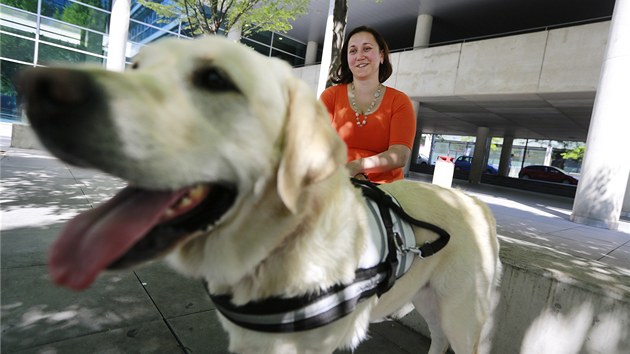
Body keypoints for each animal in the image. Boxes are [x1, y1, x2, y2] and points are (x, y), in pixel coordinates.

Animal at [17, 36, 504, 354]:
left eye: (215, 79)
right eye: (135, 67)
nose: (37, 86)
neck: (276, 250)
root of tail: (475, 204)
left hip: (462, 312)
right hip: (432, 300)